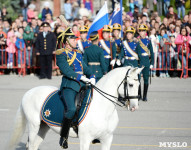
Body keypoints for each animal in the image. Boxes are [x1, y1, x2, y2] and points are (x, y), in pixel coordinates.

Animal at [5, 66, 143, 150]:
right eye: (131, 84)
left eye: (139, 85)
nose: (135, 107)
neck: (103, 109)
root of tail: (29, 92)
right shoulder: (85, 139)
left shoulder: (107, 139)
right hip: (34, 126)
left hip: (43, 127)